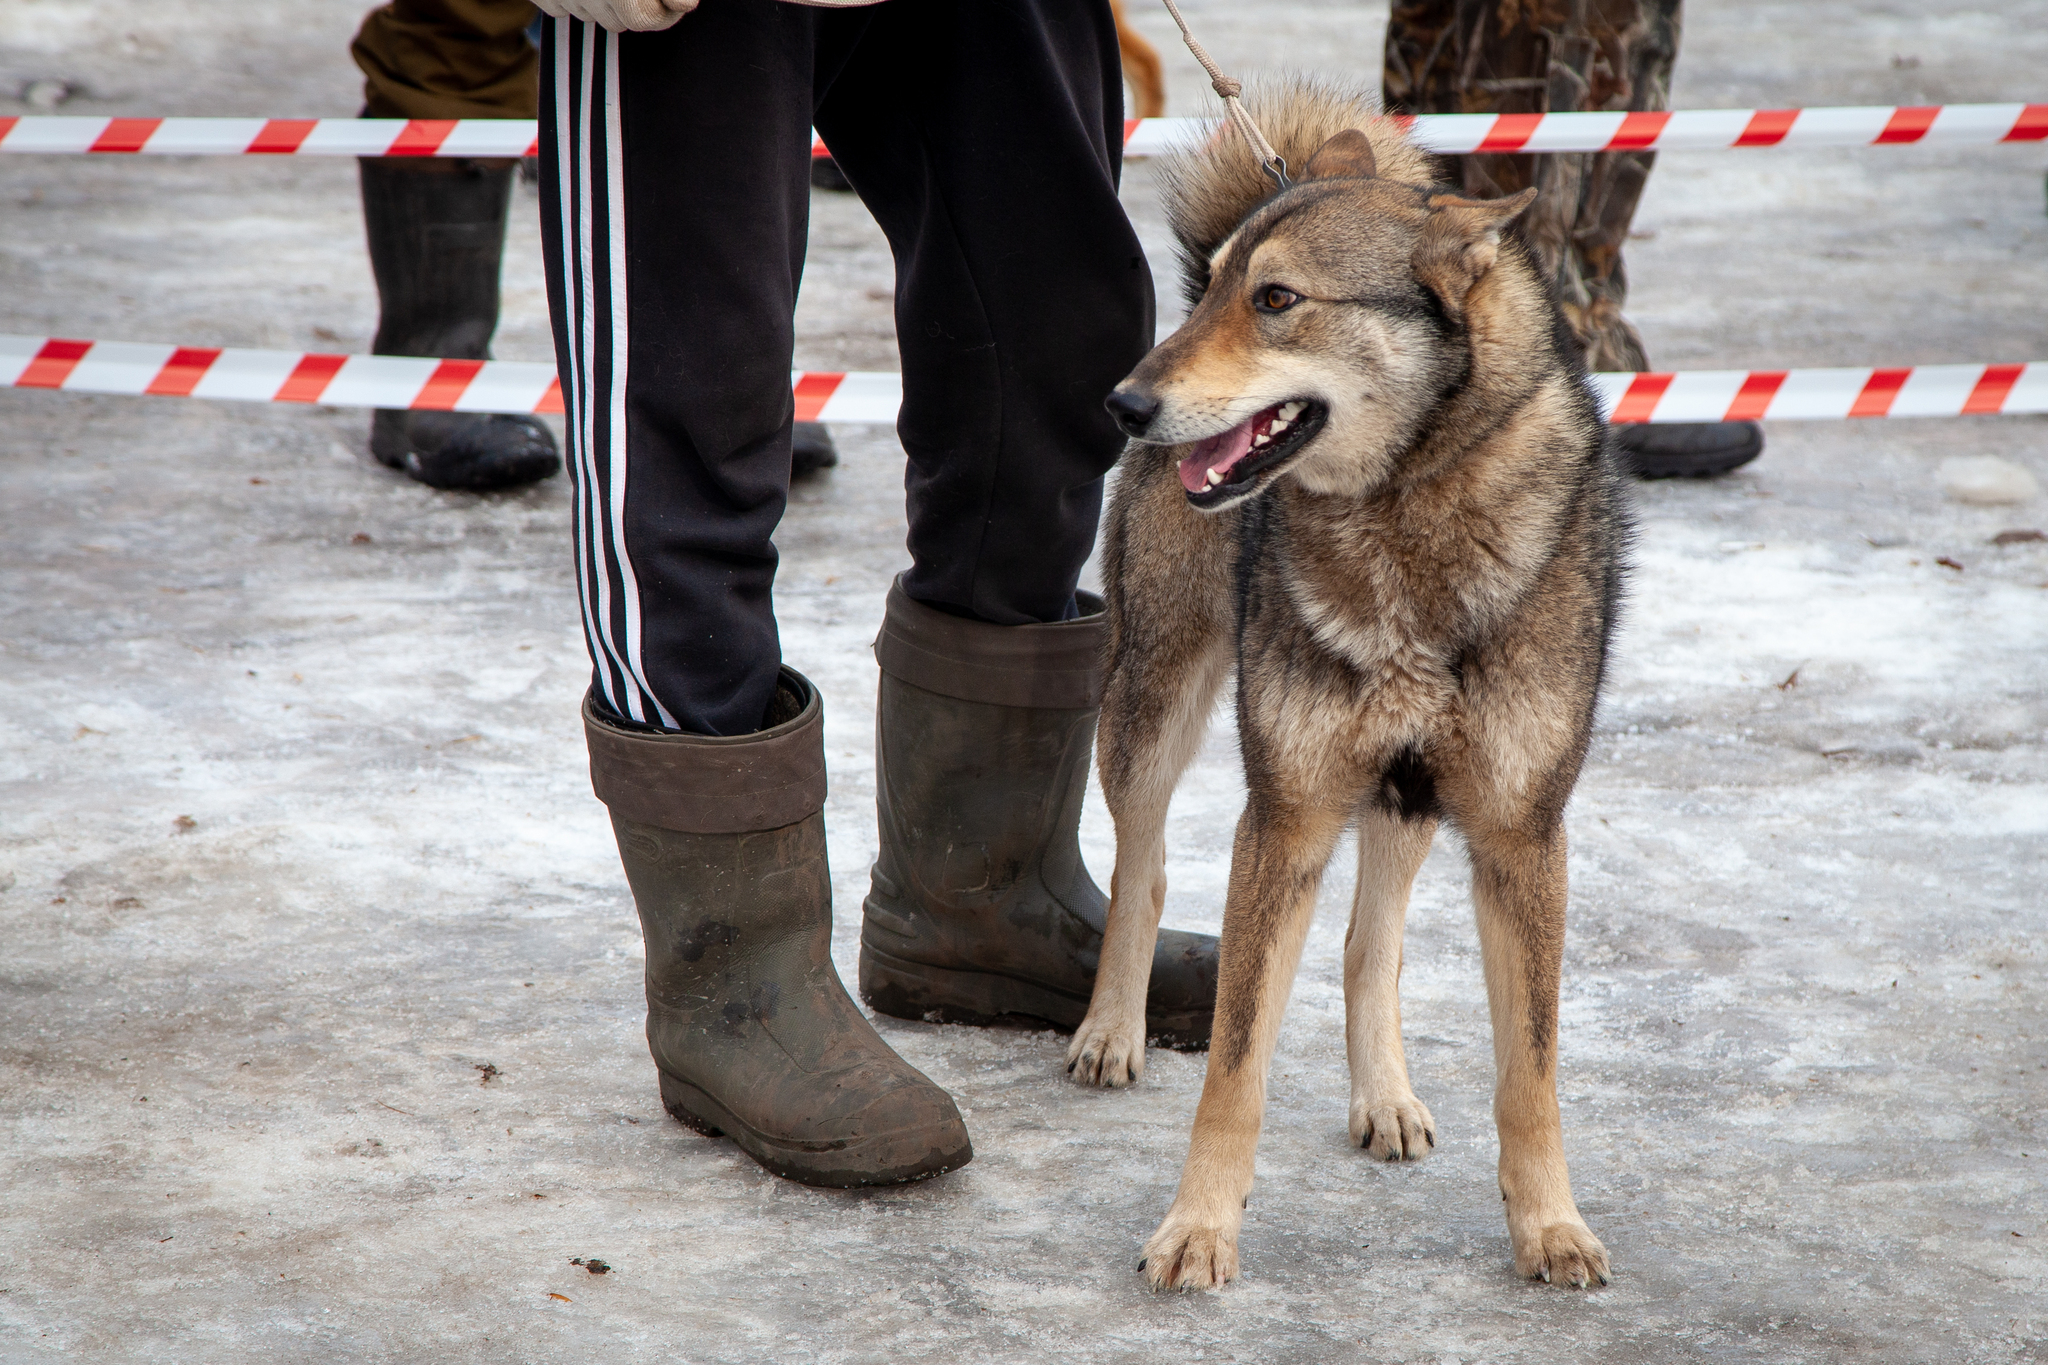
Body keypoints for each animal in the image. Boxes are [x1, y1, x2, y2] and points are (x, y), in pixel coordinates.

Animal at [1073, 80, 1630, 1301]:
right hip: (1150, 706)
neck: (1406, 514)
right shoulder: (1282, 817)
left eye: (1277, 299)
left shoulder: (1519, 834)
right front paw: (1197, 1228)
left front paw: (1549, 1226)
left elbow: (1530, 1073)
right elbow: (1232, 1066)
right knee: (1140, 871)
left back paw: (1383, 1094)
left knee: (1367, 945)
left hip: (1404, 790)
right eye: (1220, 287)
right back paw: (1110, 1029)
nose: (1122, 401)